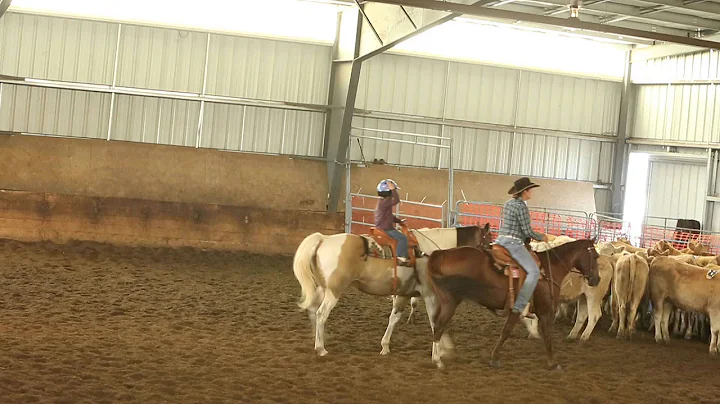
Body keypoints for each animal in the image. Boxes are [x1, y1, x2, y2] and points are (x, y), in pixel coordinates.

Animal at [424, 238, 600, 370]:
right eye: (596, 256)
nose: (596, 280)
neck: (549, 271)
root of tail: (439, 254)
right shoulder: (542, 311)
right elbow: (541, 336)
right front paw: (553, 363)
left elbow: (509, 331)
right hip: (450, 302)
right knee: (439, 326)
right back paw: (437, 361)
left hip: (441, 302)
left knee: (436, 325)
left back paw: (440, 354)